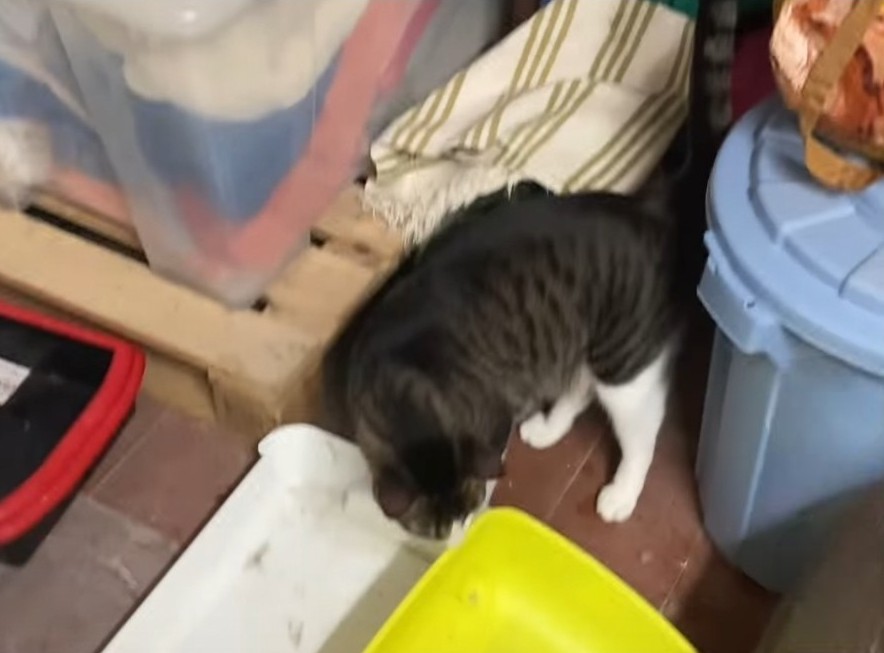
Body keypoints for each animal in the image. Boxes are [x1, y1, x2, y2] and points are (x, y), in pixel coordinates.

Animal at [324, 0, 737, 540]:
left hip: (626, 360)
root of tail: (657, 205)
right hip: (576, 339)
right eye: (434, 528)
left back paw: (621, 494)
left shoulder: (488, 419)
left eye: (466, 509)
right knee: (578, 387)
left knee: (641, 426)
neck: (402, 392)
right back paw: (546, 429)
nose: (456, 538)